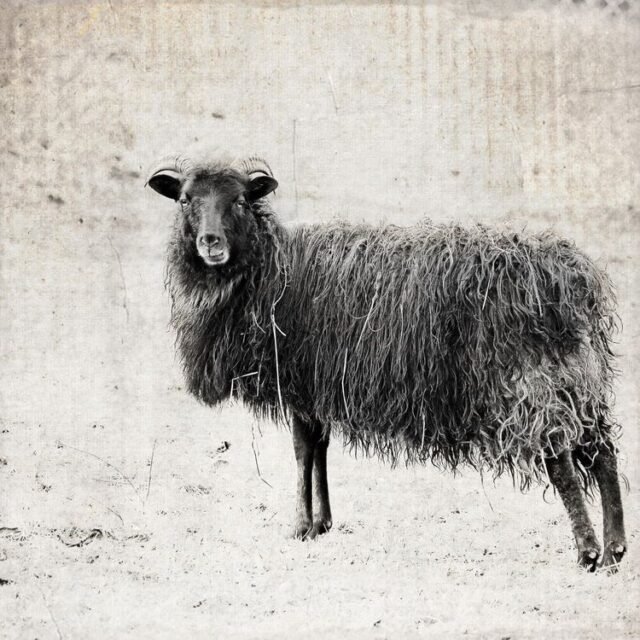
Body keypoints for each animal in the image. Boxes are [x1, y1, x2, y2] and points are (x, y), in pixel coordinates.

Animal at [145, 153, 627, 571]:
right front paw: (323, 523)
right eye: (185, 199)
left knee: (561, 458)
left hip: (531, 381)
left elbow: (302, 451)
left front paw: (300, 526)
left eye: (242, 200)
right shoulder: (319, 387)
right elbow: (319, 448)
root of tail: (572, 277)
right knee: (603, 449)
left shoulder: (299, 381)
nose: (210, 243)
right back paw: (615, 549)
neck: (271, 271)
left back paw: (587, 551)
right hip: (578, 374)